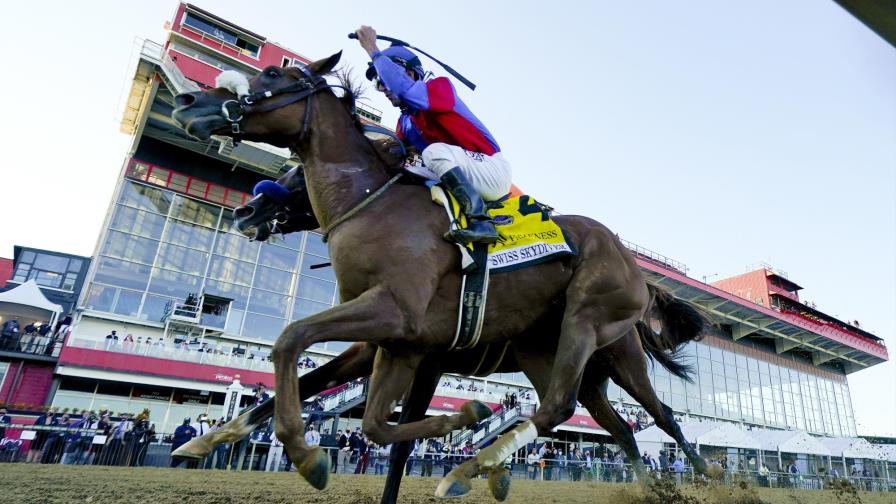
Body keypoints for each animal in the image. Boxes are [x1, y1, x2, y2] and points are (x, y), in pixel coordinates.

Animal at [172, 52, 720, 500]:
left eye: (270, 74)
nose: (188, 100)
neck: (375, 203)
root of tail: (635, 268)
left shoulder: (400, 320)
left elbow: (292, 341)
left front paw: (306, 455)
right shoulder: (388, 342)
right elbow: (340, 400)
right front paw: (208, 439)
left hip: (598, 331)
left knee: (627, 413)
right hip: (565, 358)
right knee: (611, 424)